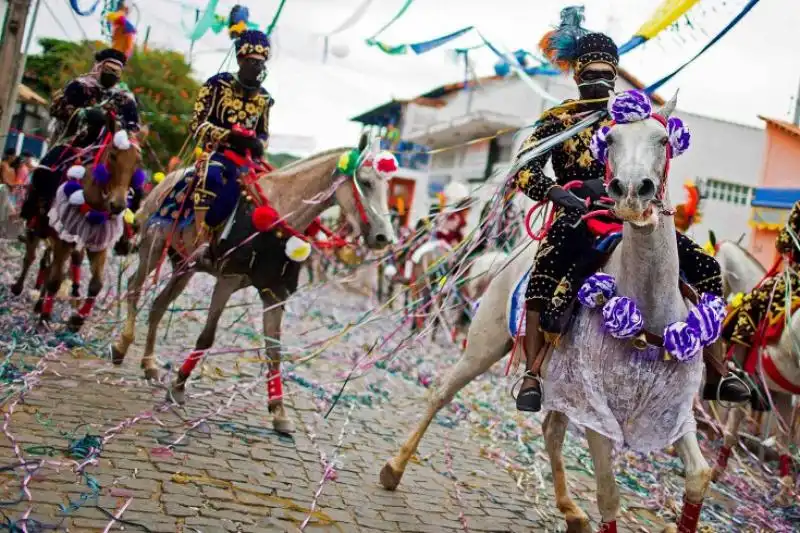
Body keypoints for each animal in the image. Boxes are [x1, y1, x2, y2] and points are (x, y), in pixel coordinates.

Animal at [380, 93, 720, 528]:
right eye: (610, 141)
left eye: (662, 140)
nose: (630, 192)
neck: (648, 315)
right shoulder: (596, 411)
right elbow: (608, 495)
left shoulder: (673, 411)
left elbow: (698, 476)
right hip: (486, 347)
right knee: (442, 393)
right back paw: (394, 468)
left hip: (562, 381)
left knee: (551, 429)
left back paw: (571, 511)